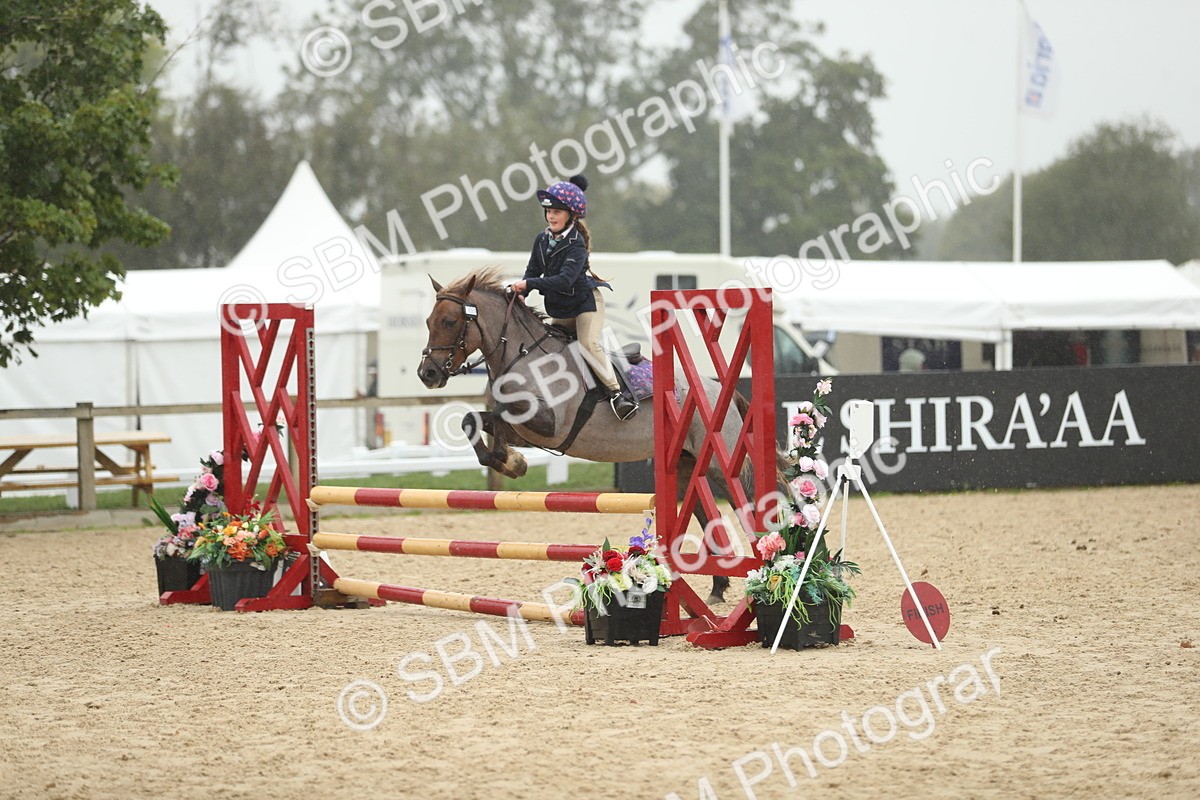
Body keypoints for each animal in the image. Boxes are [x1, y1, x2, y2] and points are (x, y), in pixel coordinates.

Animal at [417, 267, 761, 603]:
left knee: (747, 502)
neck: (522, 356)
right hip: (688, 465)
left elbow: (496, 417)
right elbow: (472, 421)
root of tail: (720, 390)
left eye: (450, 321)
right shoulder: (525, 432)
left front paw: (511, 462)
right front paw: (513, 462)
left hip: (718, 463)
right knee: (703, 513)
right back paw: (717, 589)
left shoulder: (549, 425)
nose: (427, 374)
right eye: (429, 321)